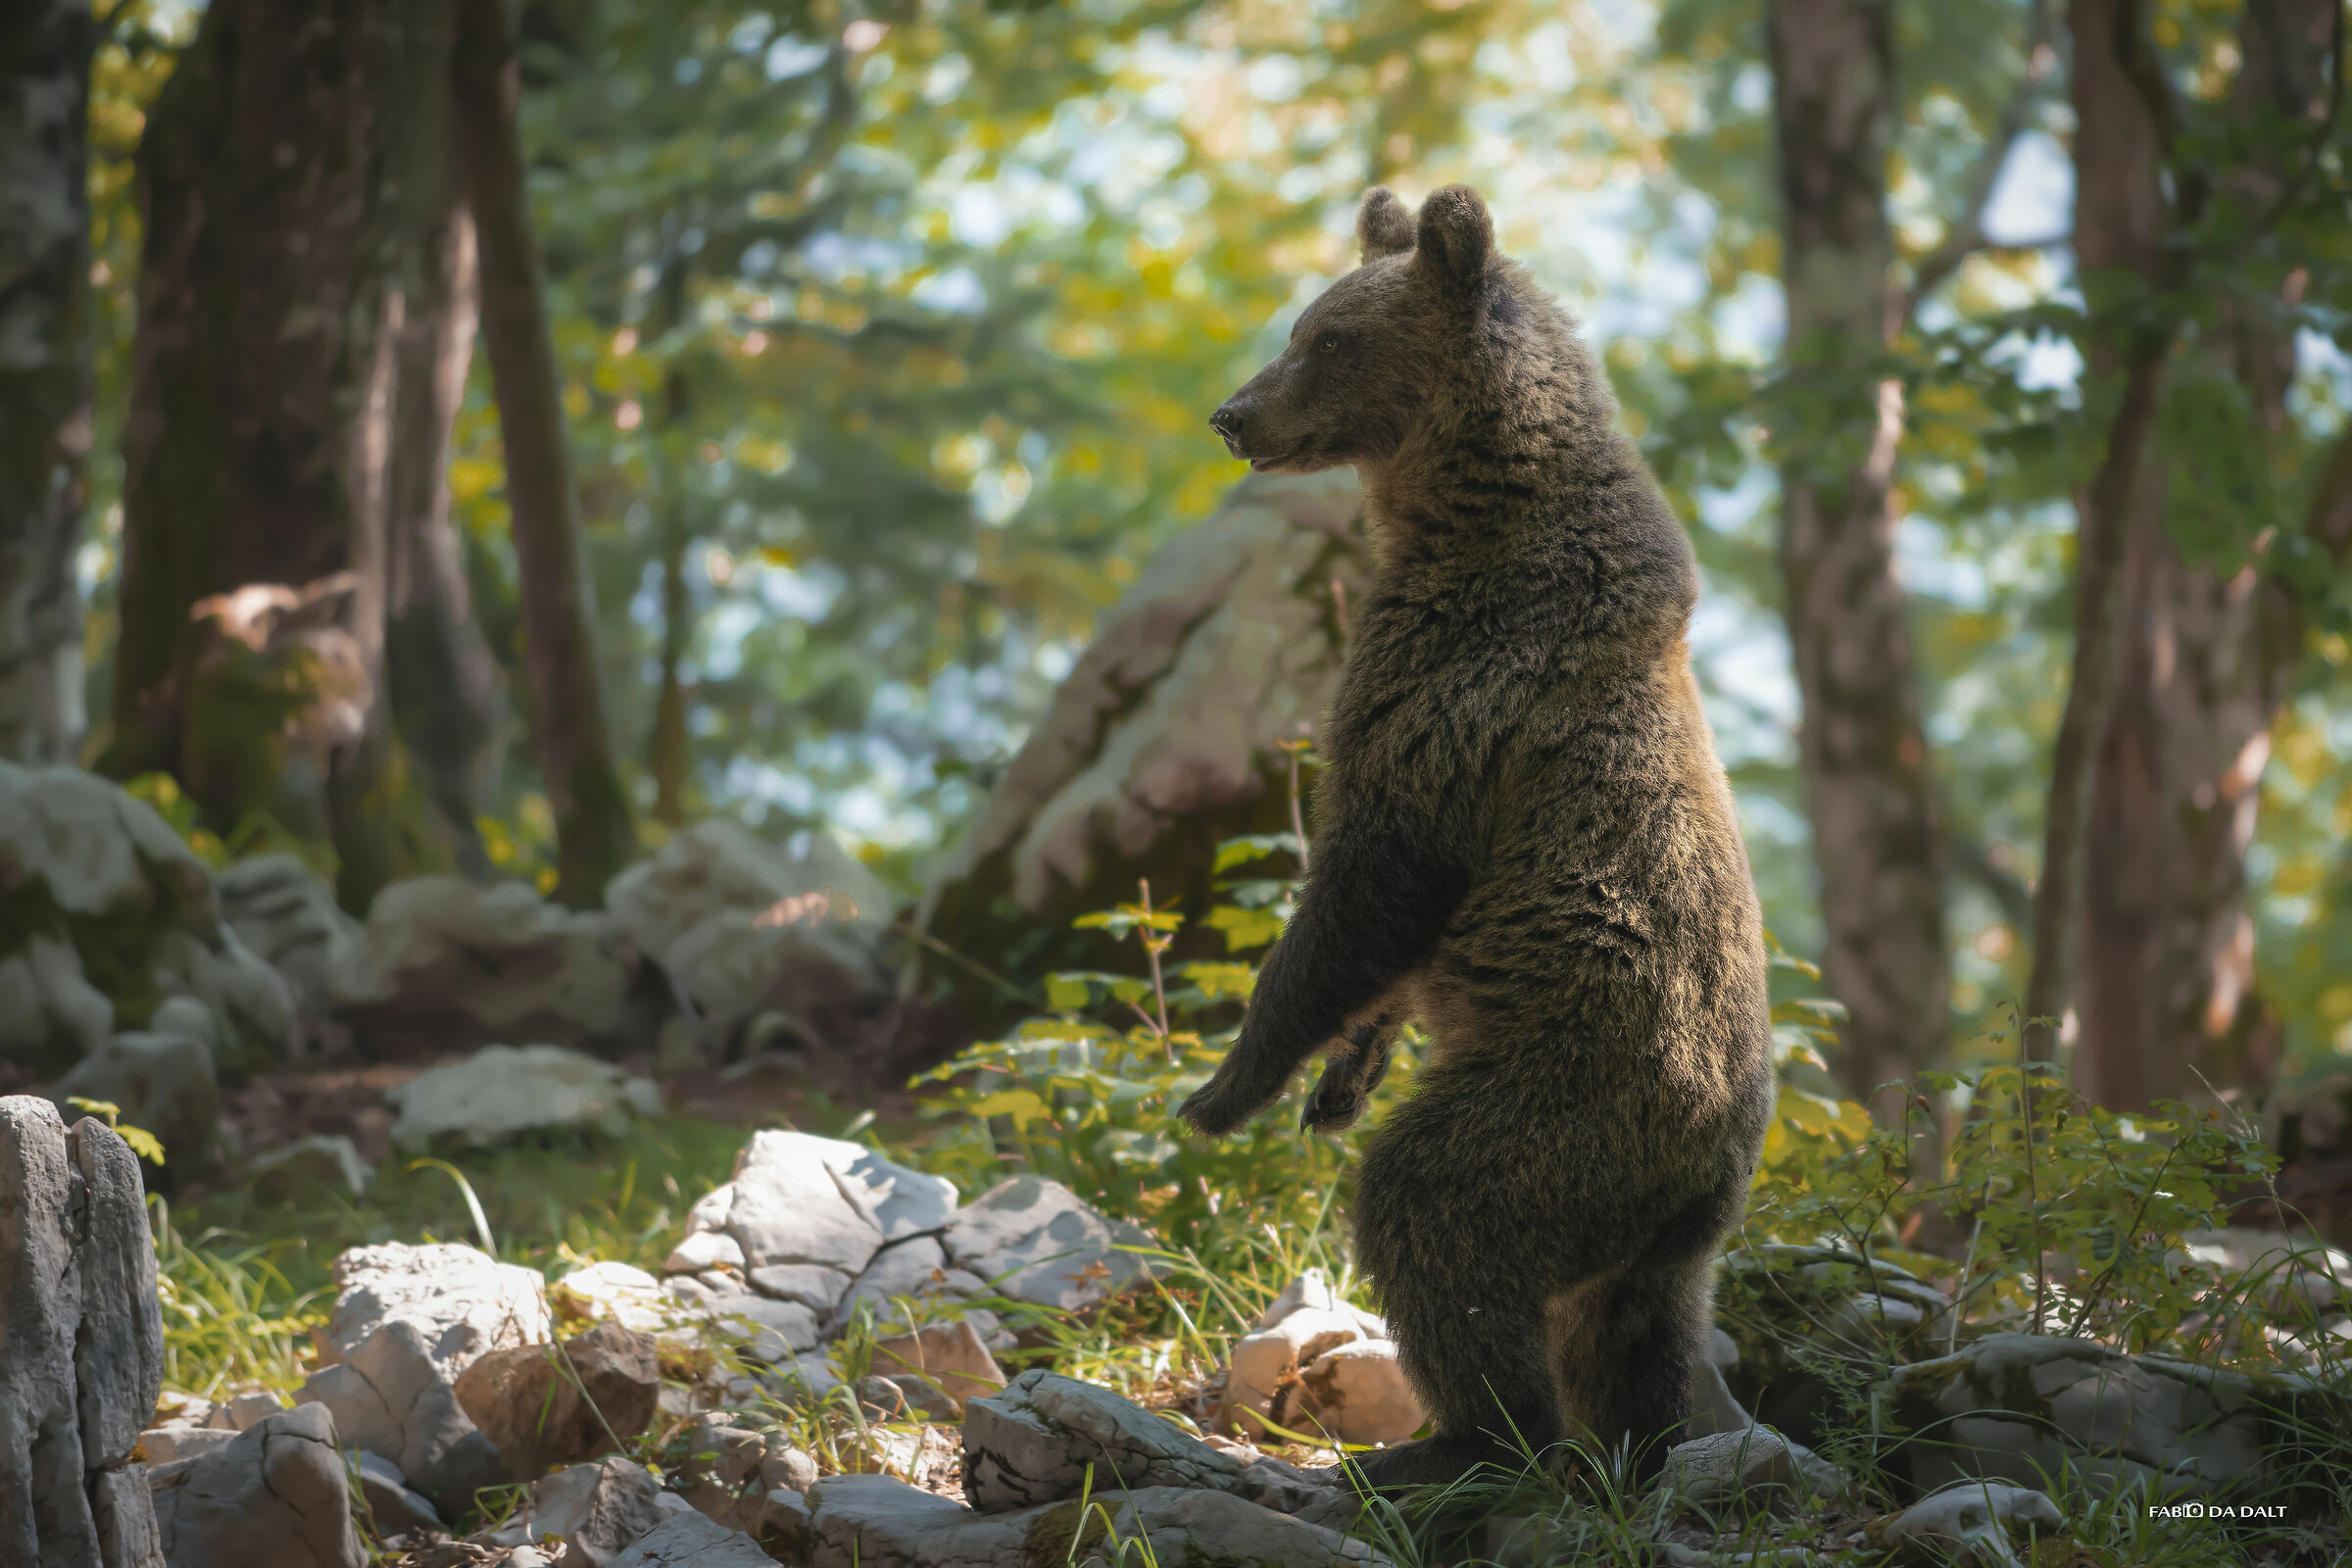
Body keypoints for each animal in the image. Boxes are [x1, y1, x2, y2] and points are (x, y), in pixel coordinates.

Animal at [1179, 184, 1774, 1489]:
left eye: (1324, 337)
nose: (1233, 415)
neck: (1462, 517)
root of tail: (1698, 1179)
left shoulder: (1456, 685)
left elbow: (1368, 884)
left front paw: (1225, 1088)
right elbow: (1393, 947)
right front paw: (1336, 1082)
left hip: (1565, 1100)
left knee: (1435, 1214)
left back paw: (1458, 1441)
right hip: (1659, 1237)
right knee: (1633, 1332)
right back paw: (1636, 1450)